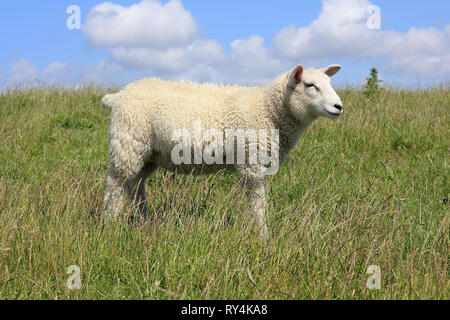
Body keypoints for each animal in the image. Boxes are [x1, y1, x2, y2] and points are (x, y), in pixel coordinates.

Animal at [101, 64, 342, 238]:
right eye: (310, 85)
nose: (338, 106)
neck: (269, 110)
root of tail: (118, 96)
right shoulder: (250, 162)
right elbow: (258, 203)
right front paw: (264, 236)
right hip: (128, 144)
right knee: (116, 185)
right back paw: (110, 225)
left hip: (148, 155)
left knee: (136, 186)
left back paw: (144, 221)